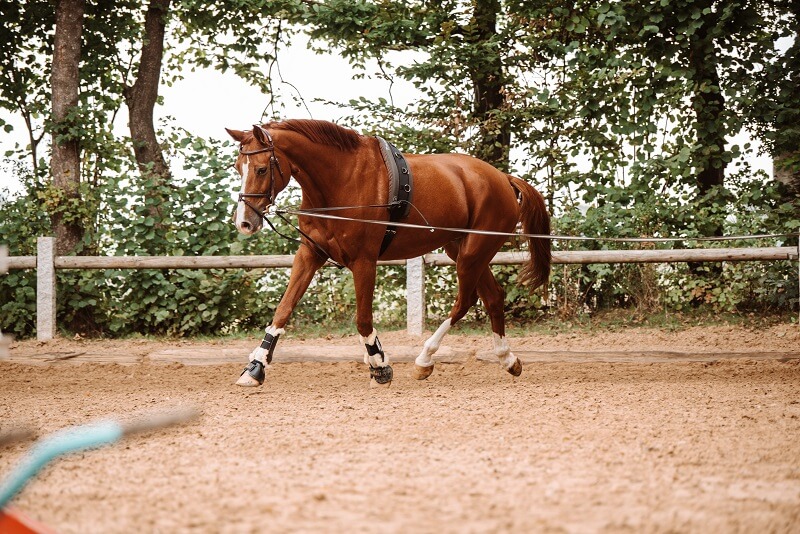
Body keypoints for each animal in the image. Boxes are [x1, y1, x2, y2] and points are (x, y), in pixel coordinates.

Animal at [225, 120, 552, 390]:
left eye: (261, 169)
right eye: (238, 168)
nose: (244, 222)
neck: (340, 180)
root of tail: (503, 178)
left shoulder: (364, 262)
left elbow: (362, 320)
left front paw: (379, 367)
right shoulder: (309, 254)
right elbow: (283, 309)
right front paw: (255, 368)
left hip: (474, 251)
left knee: (465, 301)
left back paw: (424, 360)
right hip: (464, 250)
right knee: (493, 297)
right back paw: (508, 359)